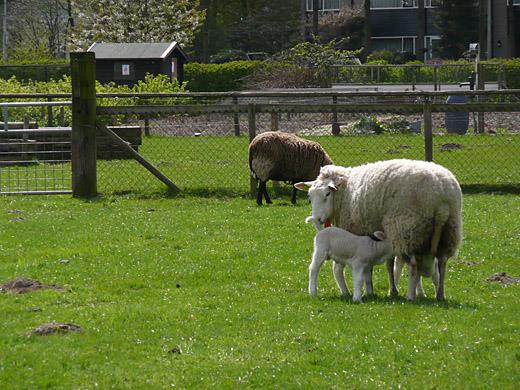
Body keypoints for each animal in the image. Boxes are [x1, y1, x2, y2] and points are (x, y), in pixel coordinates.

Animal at [296, 159, 464, 302]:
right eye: (309, 196)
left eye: (327, 194)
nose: (317, 219)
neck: (346, 190)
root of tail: (442, 199)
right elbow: (388, 263)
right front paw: (391, 290)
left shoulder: (363, 232)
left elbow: (367, 268)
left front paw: (369, 291)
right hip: (449, 231)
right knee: (442, 262)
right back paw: (440, 295)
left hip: (405, 229)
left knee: (413, 264)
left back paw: (411, 295)